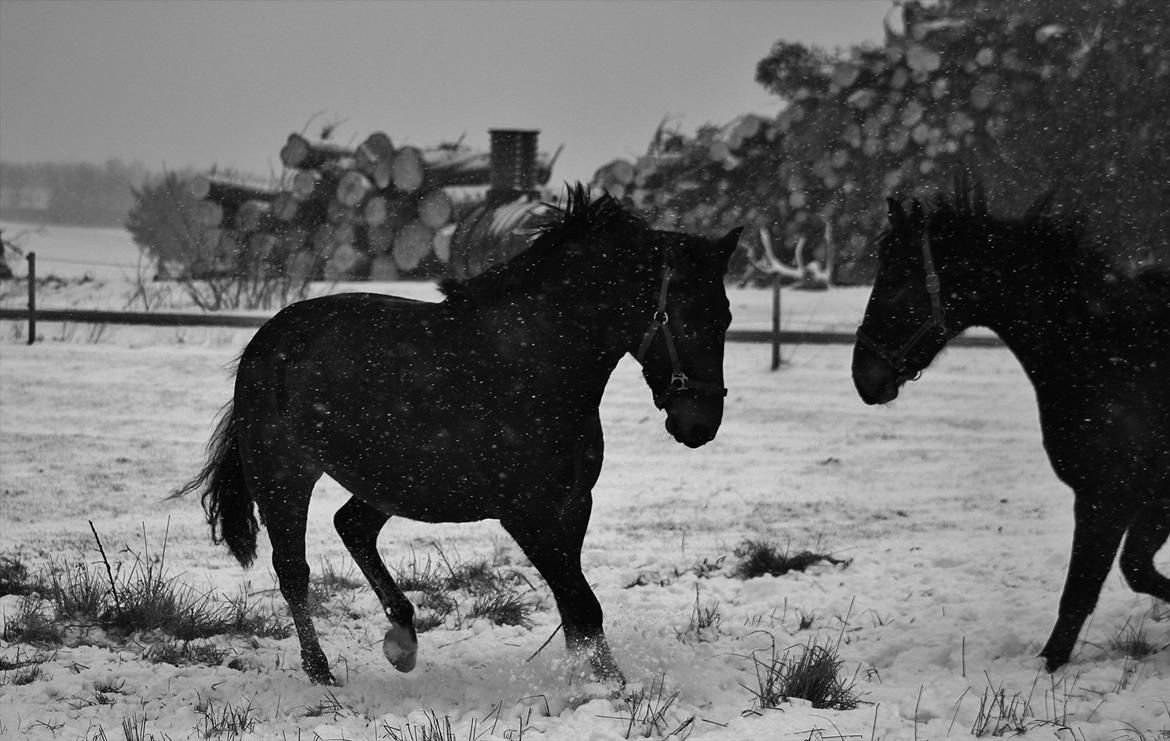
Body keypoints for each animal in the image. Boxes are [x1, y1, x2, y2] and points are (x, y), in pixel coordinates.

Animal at [175, 184, 739, 683]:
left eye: (727, 316)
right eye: (685, 315)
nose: (699, 424)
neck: (535, 363)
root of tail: (269, 337)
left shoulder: (574, 505)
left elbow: (573, 606)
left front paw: (590, 679)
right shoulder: (526, 513)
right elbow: (583, 604)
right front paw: (612, 687)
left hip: (390, 480)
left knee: (351, 526)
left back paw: (402, 640)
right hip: (283, 475)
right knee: (294, 569)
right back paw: (321, 672)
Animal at [851, 180, 1170, 669]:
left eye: (897, 284)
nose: (863, 378)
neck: (1116, 357)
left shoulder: (1108, 498)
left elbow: (1081, 594)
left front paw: (1049, 666)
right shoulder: (1145, 499)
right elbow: (1135, 571)